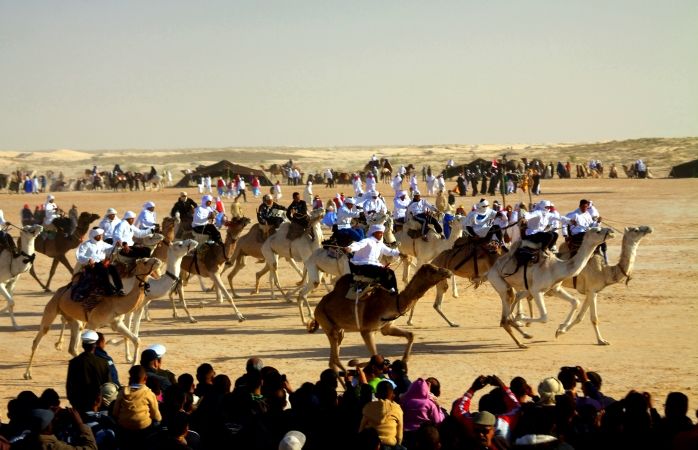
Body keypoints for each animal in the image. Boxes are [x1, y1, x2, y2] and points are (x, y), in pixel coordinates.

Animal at [23, 256, 162, 380]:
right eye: (145, 261)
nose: (158, 260)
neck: (116, 304)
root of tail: (62, 290)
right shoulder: (93, 324)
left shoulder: (116, 323)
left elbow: (136, 339)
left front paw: (133, 364)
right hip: (51, 309)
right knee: (38, 338)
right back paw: (27, 374)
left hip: (74, 320)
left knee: (72, 346)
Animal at [306, 264, 448, 372]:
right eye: (434, 270)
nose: (448, 271)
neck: (393, 302)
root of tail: (319, 306)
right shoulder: (366, 330)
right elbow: (375, 356)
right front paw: (356, 363)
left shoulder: (386, 327)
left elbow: (411, 335)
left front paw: (404, 362)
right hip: (328, 325)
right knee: (335, 359)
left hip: (338, 329)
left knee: (332, 361)